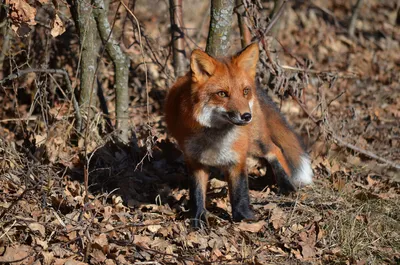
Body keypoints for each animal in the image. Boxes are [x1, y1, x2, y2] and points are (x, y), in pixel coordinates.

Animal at [166, 43, 312, 227]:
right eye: (222, 94)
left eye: (245, 91)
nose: (246, 116)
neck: (216, 140)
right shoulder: (194, 161)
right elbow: (196, 193)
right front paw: (198, 219)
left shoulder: (238, 157)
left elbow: (240, 191)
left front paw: (243, 217)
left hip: (256, 143)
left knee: (274, 151)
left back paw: (287, 186)